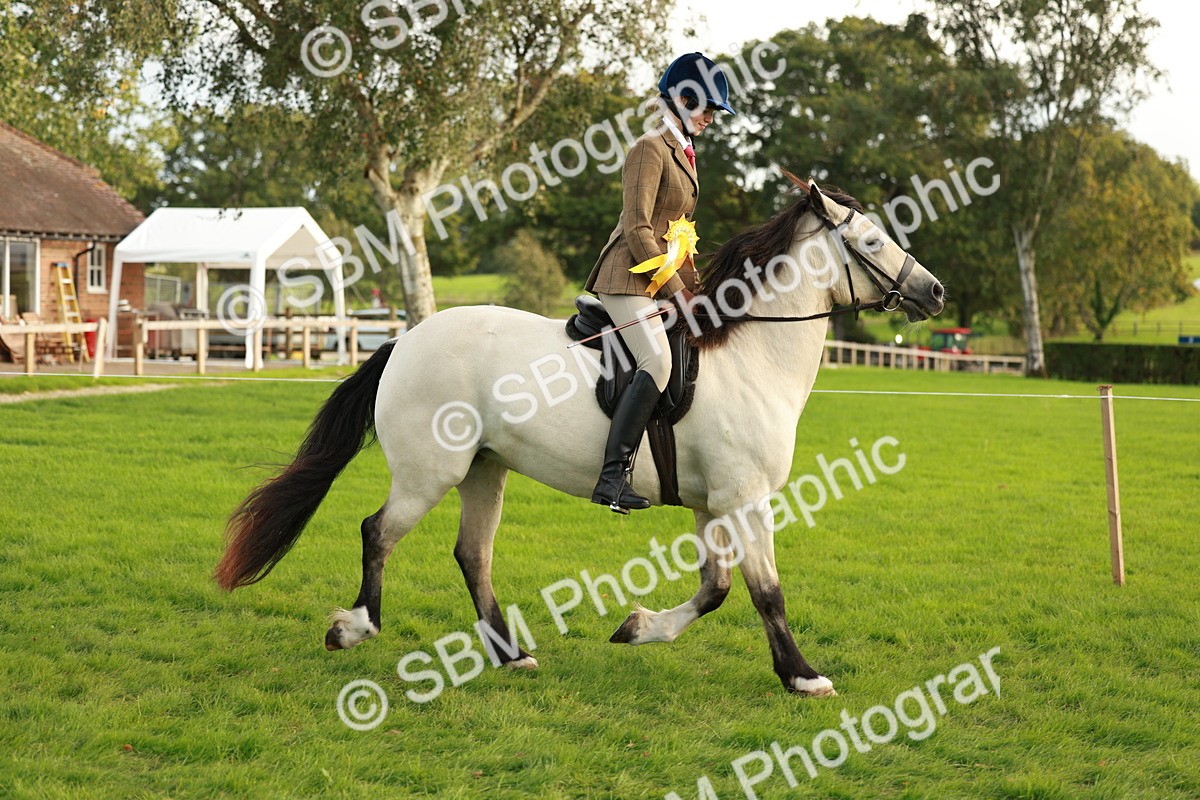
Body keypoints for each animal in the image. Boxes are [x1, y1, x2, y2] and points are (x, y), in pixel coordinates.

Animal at [214, 175, 944, 697]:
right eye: (871, 243)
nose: (933, 292)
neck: (749, 356)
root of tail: (403, 340)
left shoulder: (714, 504)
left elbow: (716, 589)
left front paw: (637, 627)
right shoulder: (745, 499)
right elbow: (765, 591)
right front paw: (803, 676)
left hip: (485, 468)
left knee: (472, 554)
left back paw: (512, 656)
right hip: (430, 472)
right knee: (378, 533)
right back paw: (354, 628)